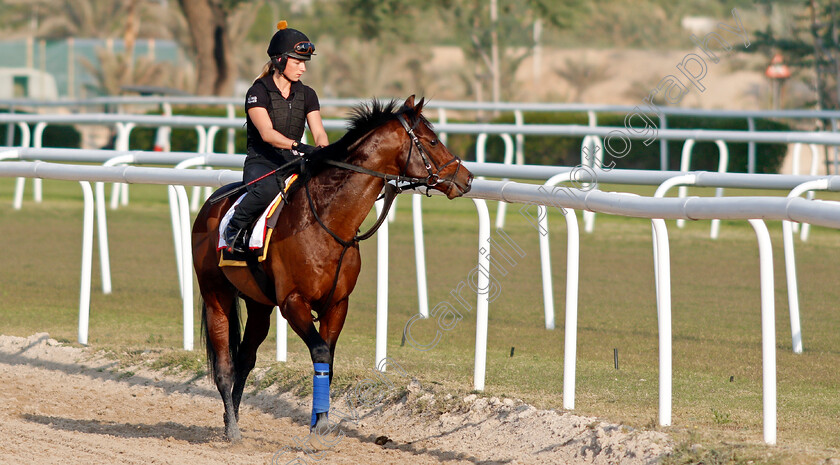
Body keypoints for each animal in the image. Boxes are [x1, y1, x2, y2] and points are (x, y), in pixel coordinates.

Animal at [189, 95, 472, 438]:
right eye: (432, 141)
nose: (466, 178)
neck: (327, 222)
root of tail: (211, 204)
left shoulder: (337, 304)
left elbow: (328, 359)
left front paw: (320, 420)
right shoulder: (293, 302)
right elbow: (320, 352)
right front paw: (320, 422)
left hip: (259, 304)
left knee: (245, 358)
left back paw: (235, 417)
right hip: (216, 296)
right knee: (224, 366)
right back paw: (232, 429)